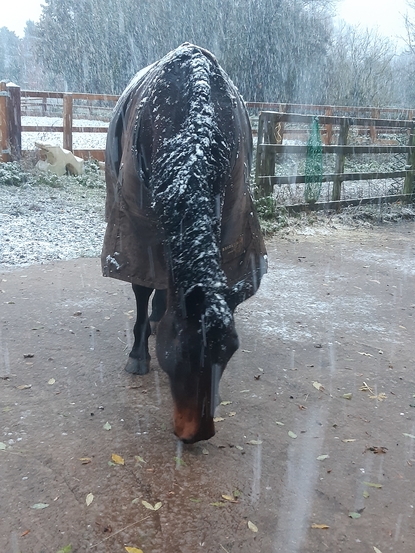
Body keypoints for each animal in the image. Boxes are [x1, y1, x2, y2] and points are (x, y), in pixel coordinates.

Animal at [102, 43, 268, 442]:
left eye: (230, 351)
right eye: (184, 351)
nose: (200, 434)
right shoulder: (138, 229)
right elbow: (141, 288)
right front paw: (139, 354)